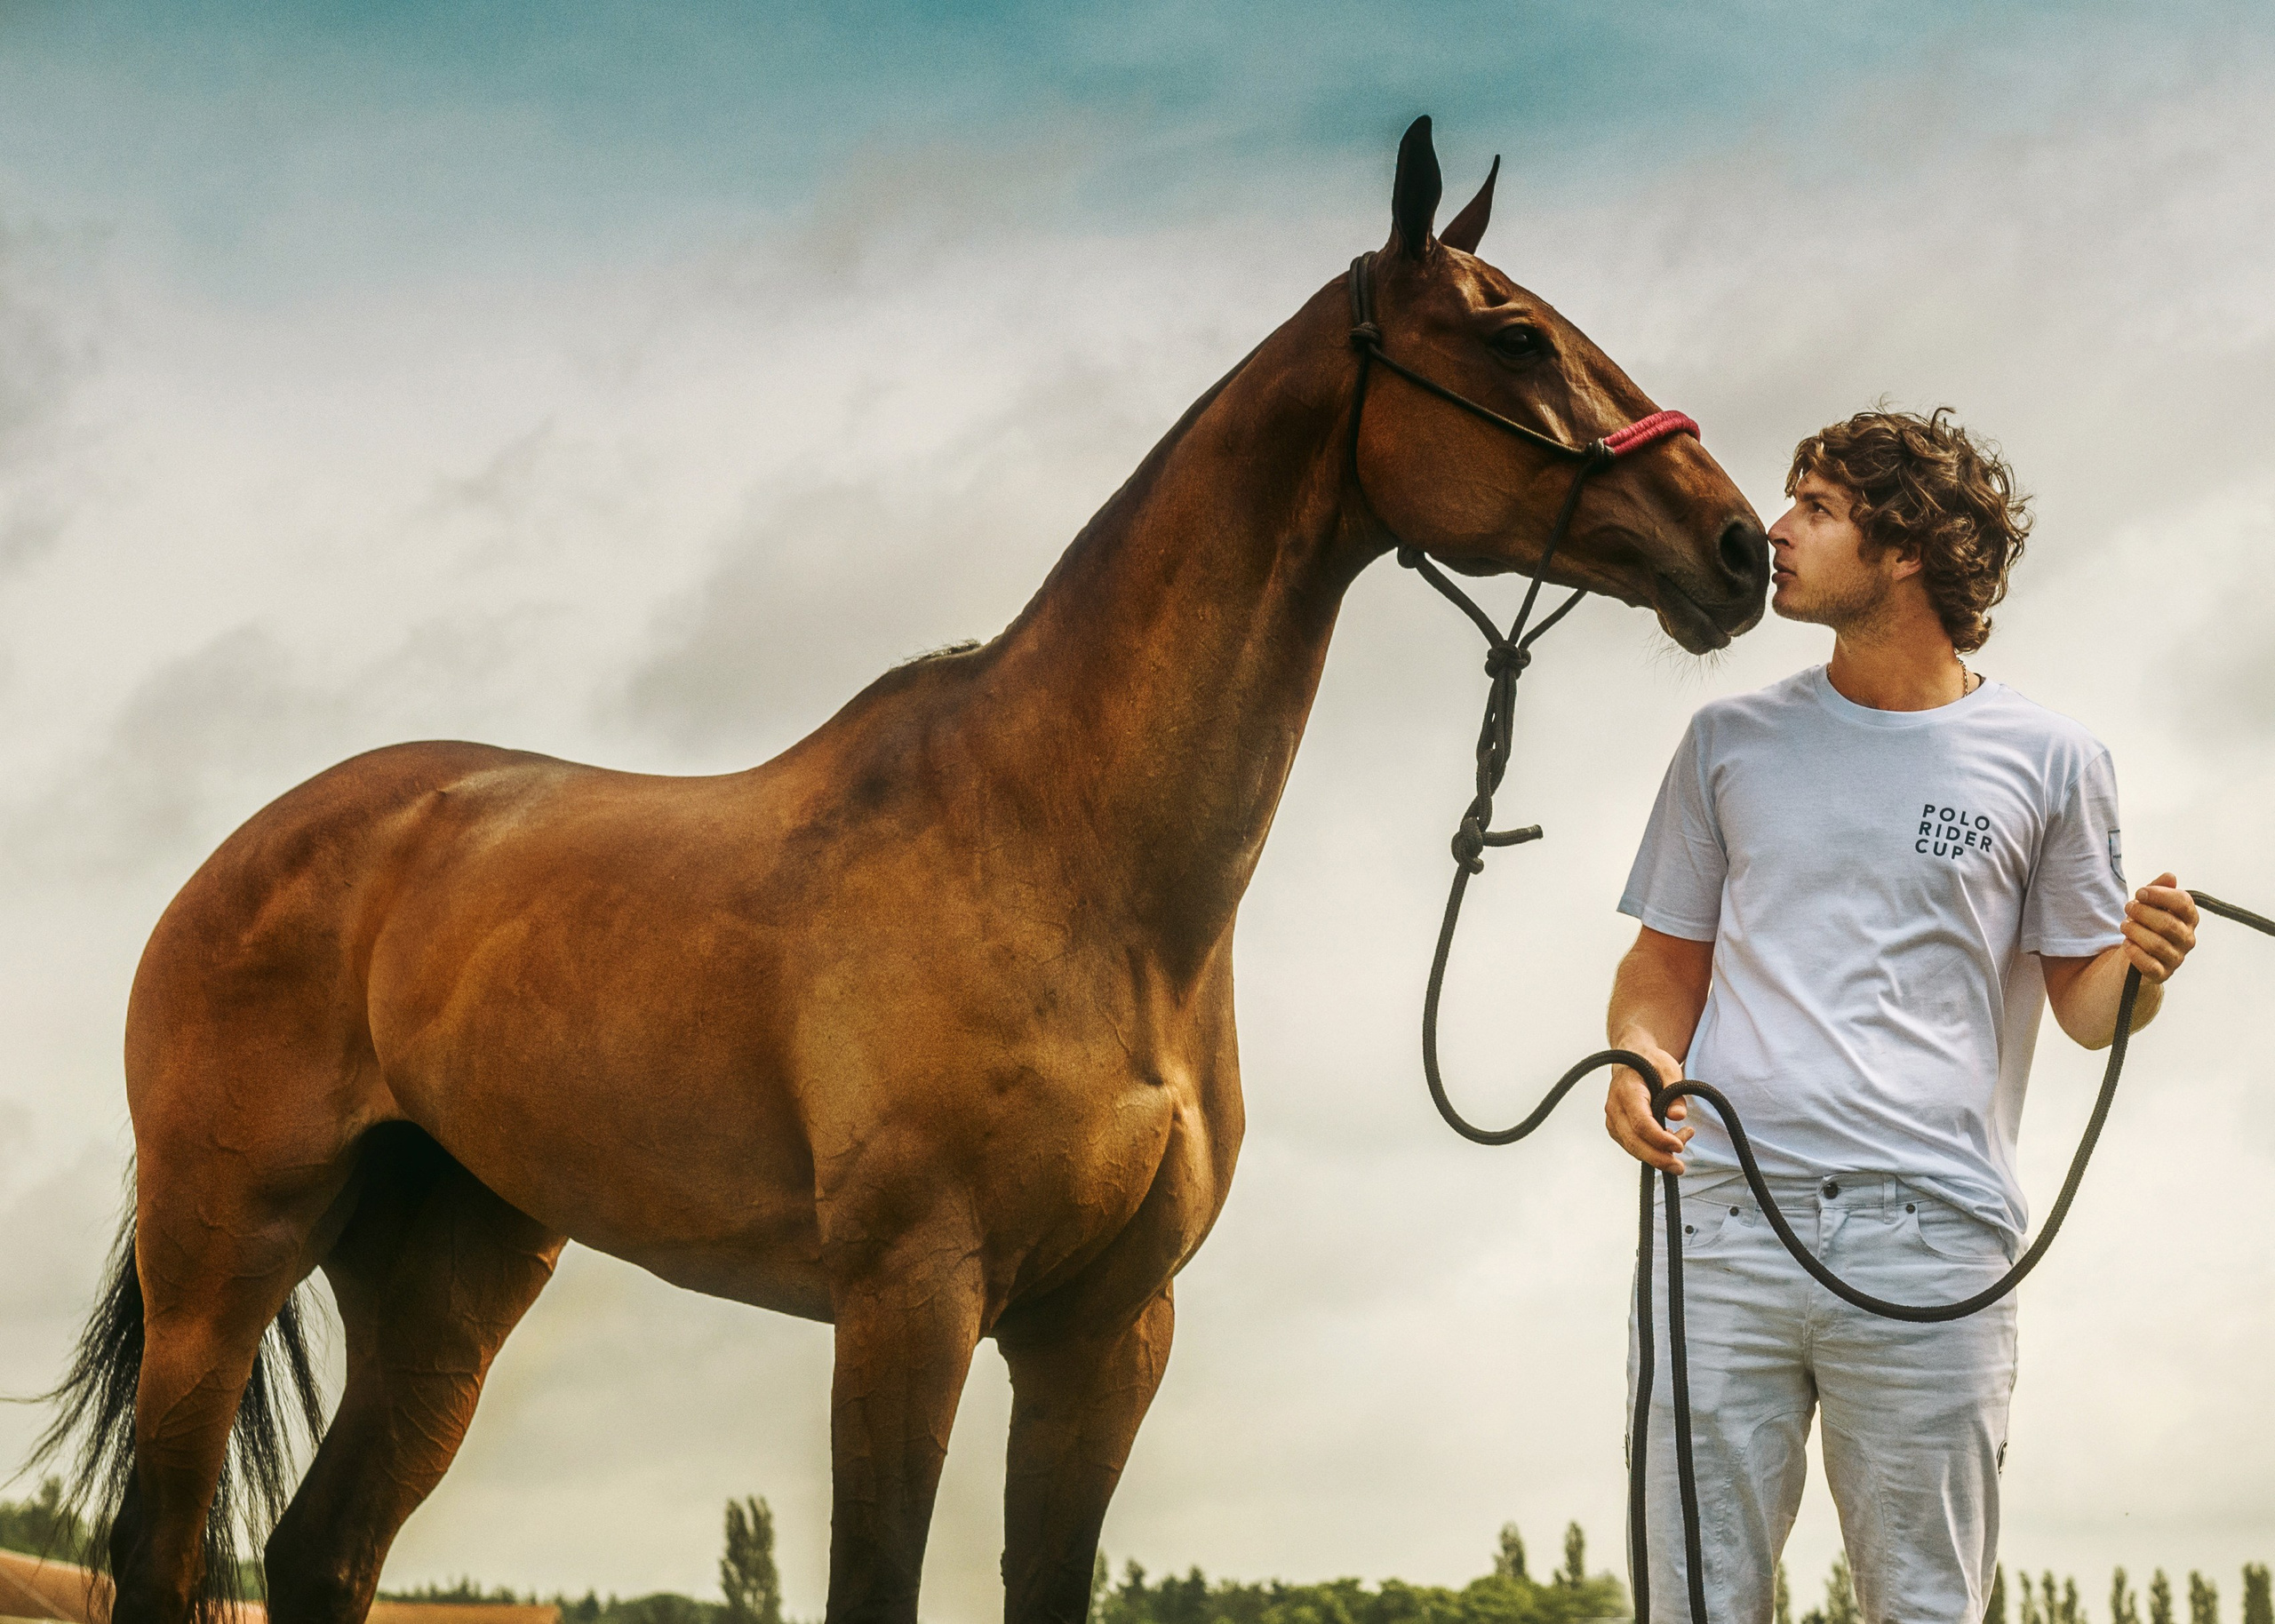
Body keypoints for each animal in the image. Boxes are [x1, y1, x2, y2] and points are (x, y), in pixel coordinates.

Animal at [38, 116, 1766, 1624]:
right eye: (1515, 338)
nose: (1738, 548)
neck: (1074, 861)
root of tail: (254, 849)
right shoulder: (911, 1301)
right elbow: (874, 1583)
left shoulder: (1104, 1333)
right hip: (225, 1251)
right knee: (168, 1554)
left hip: (450, 1282)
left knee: (324, 1549)